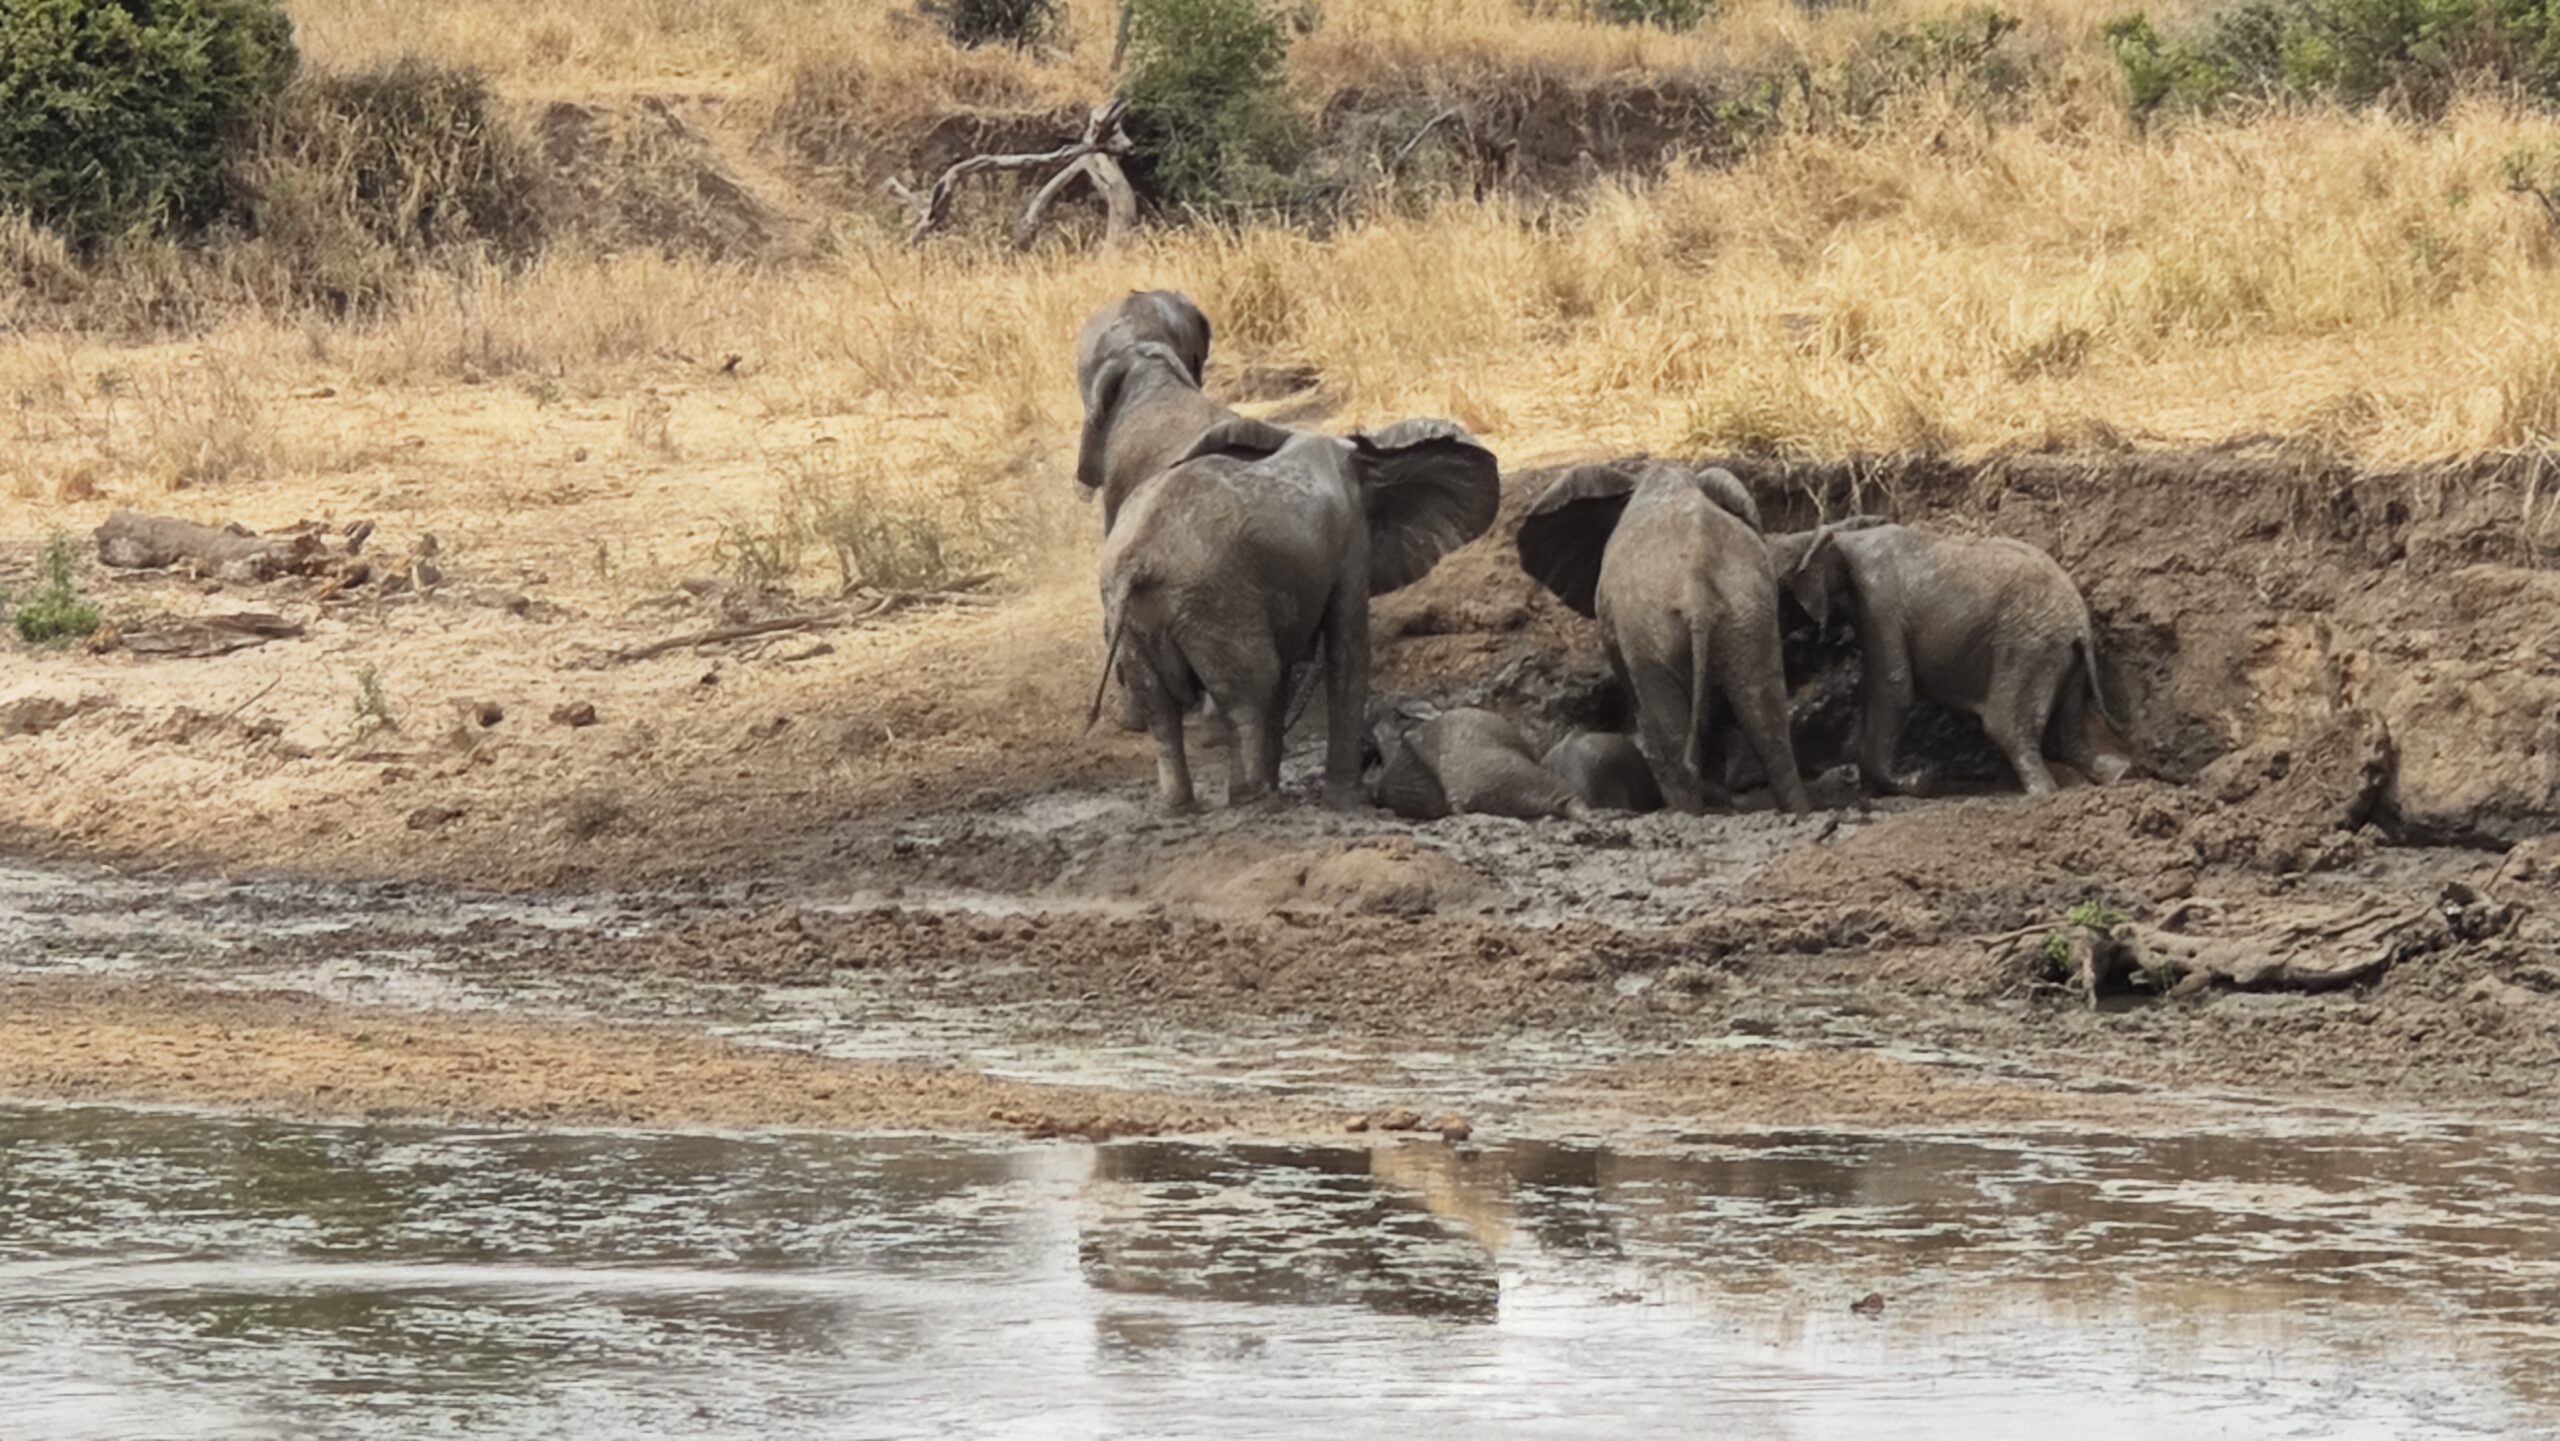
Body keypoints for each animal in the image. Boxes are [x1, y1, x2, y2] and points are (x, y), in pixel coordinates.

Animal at [1094, 416, 1502, 812]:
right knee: (1248, 689)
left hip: (1135, 613)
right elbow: (1347, 648)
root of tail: (1139, 558)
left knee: (1159, 705)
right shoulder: (1349, 539)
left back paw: (1182, 807)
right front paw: (1349, 803)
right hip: (1212, 601)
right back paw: (1256, 801)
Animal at [1515, 460, 1811, 815]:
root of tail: (1697, 583)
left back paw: (1687, 812)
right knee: (1767, 719)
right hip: (1750, 610)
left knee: (1667, 724)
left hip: (1651, 627)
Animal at [1765, 518, 2134, 797]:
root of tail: (2080, 624)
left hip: (2028, 647)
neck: (1841, 535)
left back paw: (2043, 793)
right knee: (2069, 728)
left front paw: (1912, 783)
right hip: (2063, 656)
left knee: (2006, 726)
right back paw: (2118, 774)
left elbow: (1894, 686)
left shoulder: (1878, 599)